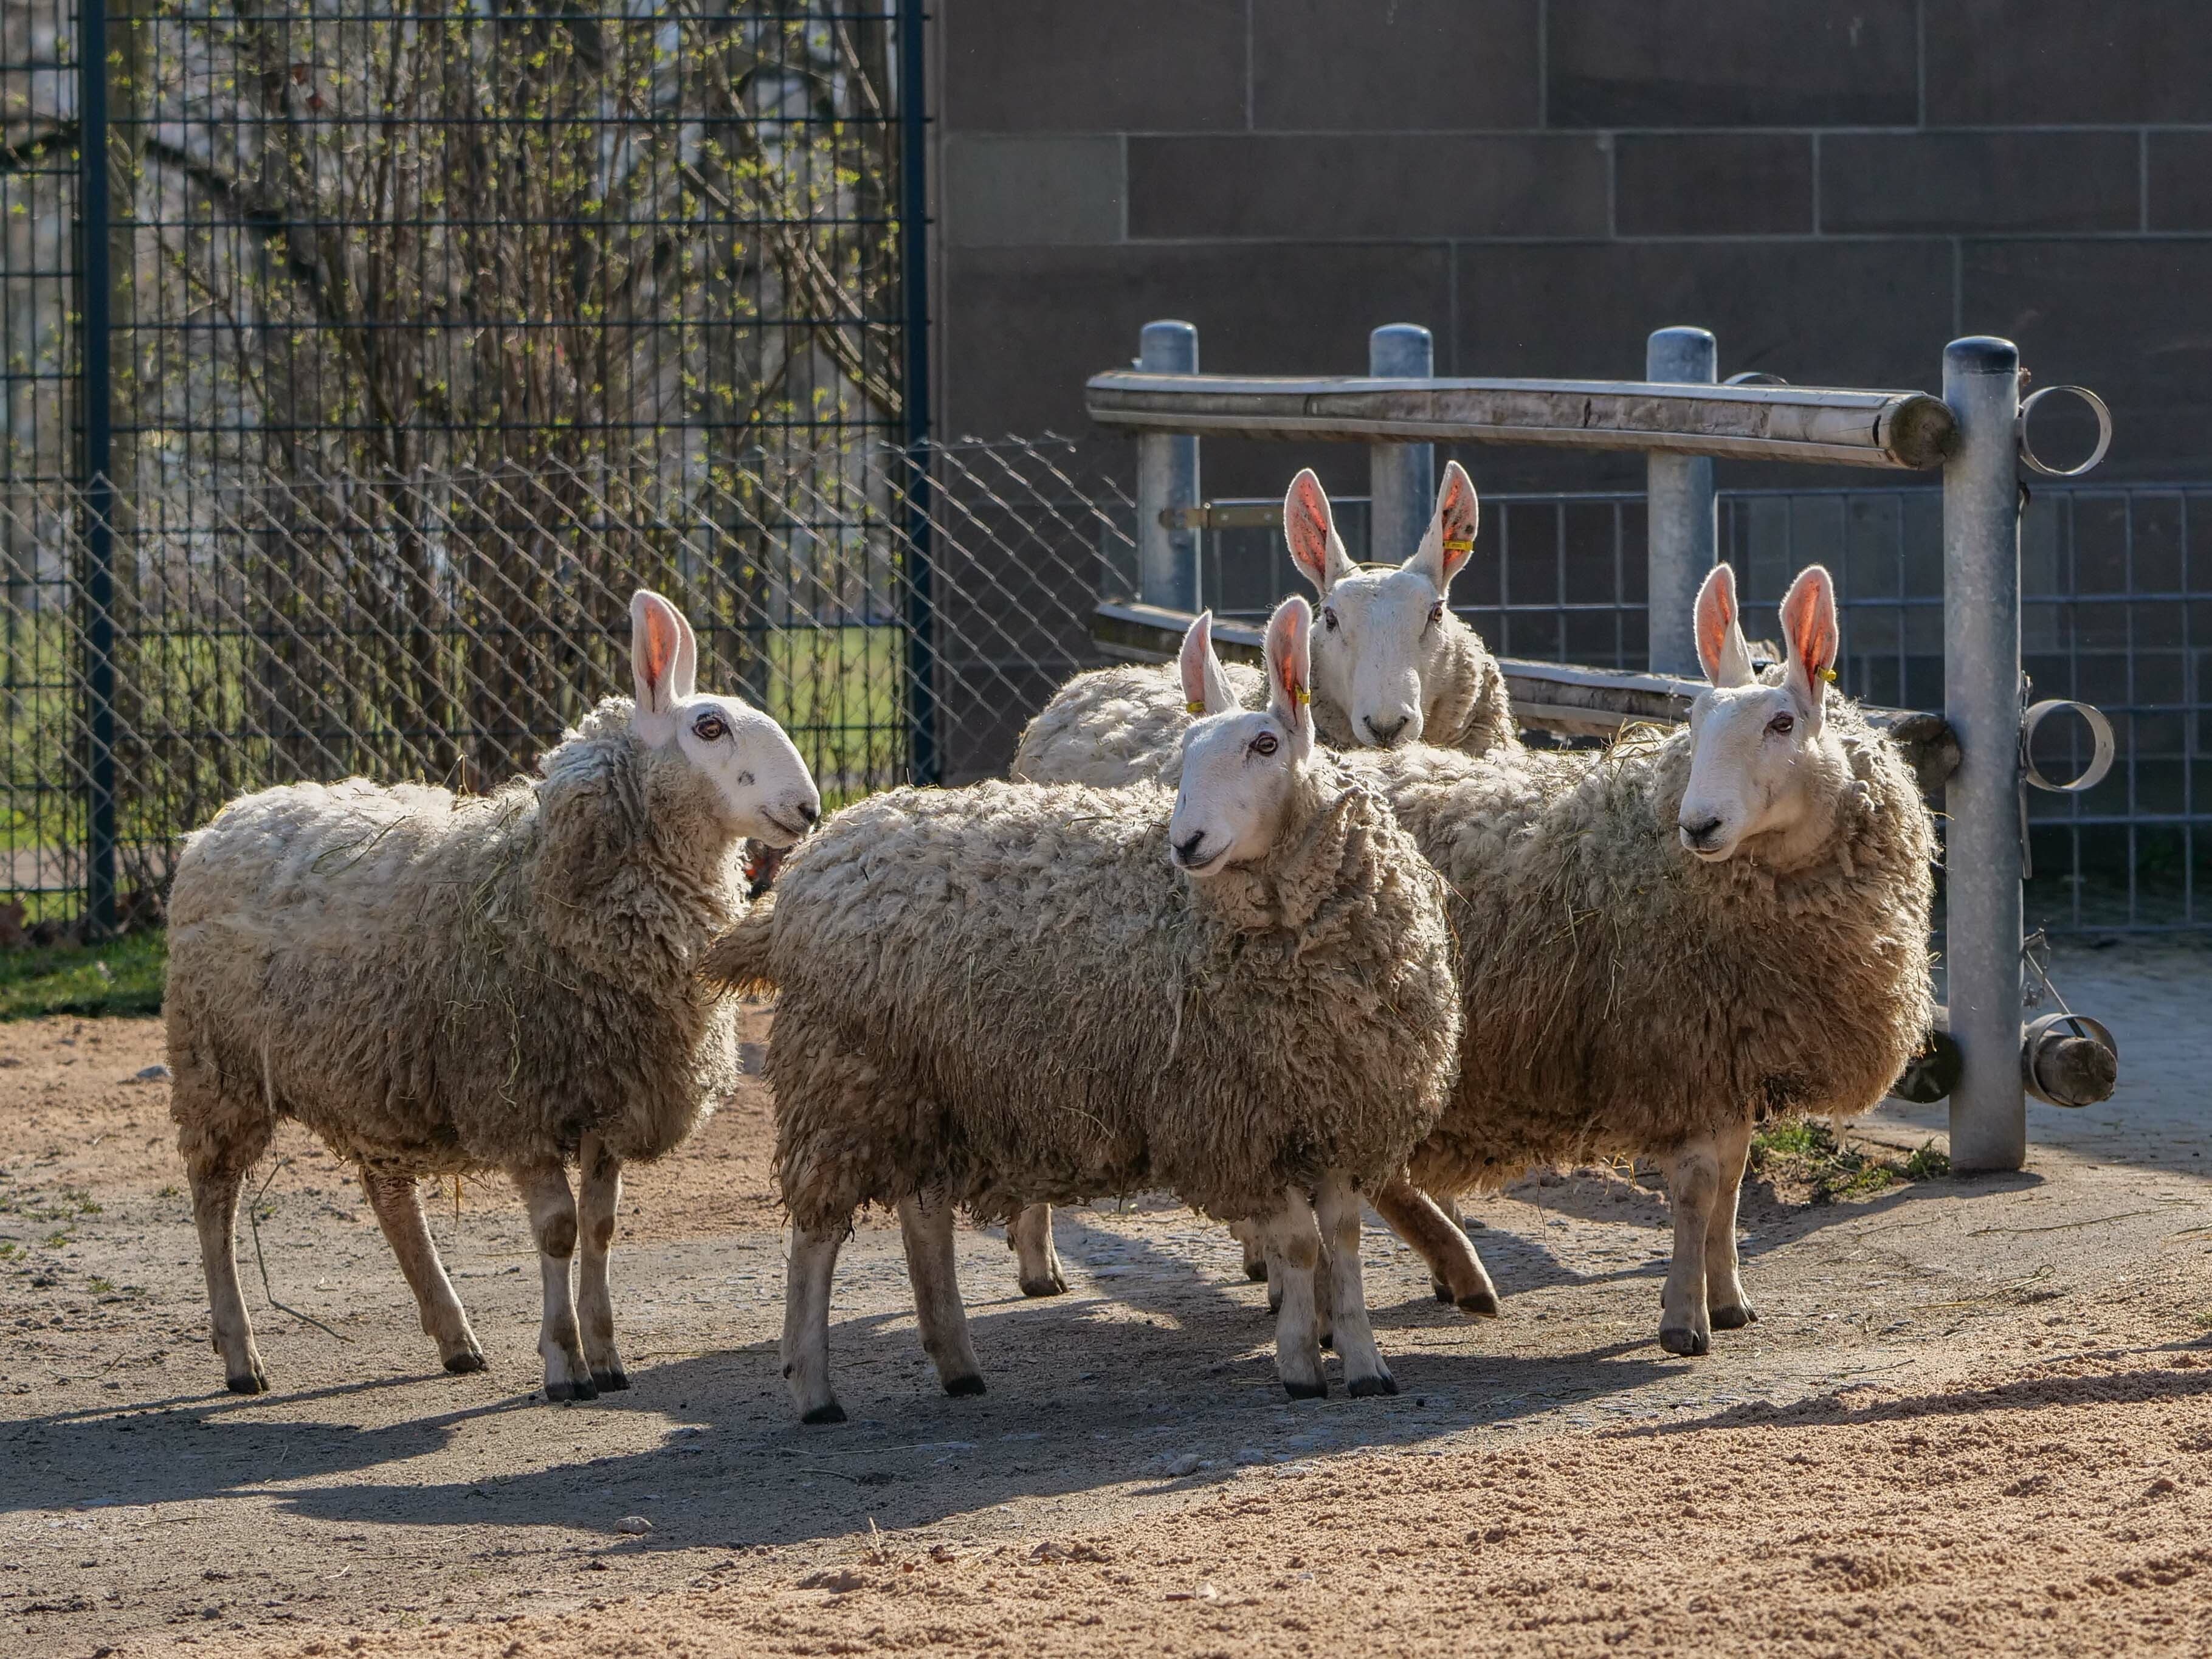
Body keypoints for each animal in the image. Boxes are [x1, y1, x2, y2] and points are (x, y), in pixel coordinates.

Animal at [164, 591, 822, 1399]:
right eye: (709, 726)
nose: (808, 809)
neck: (543, 882)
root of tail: (225, 817)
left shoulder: (608, 1094)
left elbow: (601, 1226)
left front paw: (607, 1354)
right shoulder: (517, 1099)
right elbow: (559, 1229)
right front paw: (564, 1364)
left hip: (372, 1066)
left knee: (389, 1194)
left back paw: (454, 1335)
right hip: (219, 1064)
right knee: (213, 1196)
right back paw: (239, 1352)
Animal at [703, 597, 1464, 1418]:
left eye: (1265, 743)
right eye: (1184, 754)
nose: (1186, 841)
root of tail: (814, 862)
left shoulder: (1343, 1109)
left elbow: (1345, 1242)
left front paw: (1365, 1363)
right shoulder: (1238, 1121)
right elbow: (1297, 1244)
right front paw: (1299, 1364)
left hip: (927, 1079)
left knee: (923, 1215)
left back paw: (957, 1361)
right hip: (845, 1078)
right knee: (816, 1237)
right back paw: (815, 1387)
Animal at [1008, 462, 1517, 1313]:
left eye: (1437, 611)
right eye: (1331, 617)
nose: (1388, 723)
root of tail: (1098, 677)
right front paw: (1452, 1265)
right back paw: (1038, 1256)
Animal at [1358, 562, 1936, 1355]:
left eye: (1782, 723)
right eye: (1694, 721)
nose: (1700, 824)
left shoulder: (1730, 1052)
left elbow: (1732, 1181)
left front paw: (1728, 1295)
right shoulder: (1675, 1048)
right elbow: (1696, 1186)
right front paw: (1683, 1317)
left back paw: (1454, 1273)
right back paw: (1447, 1270)